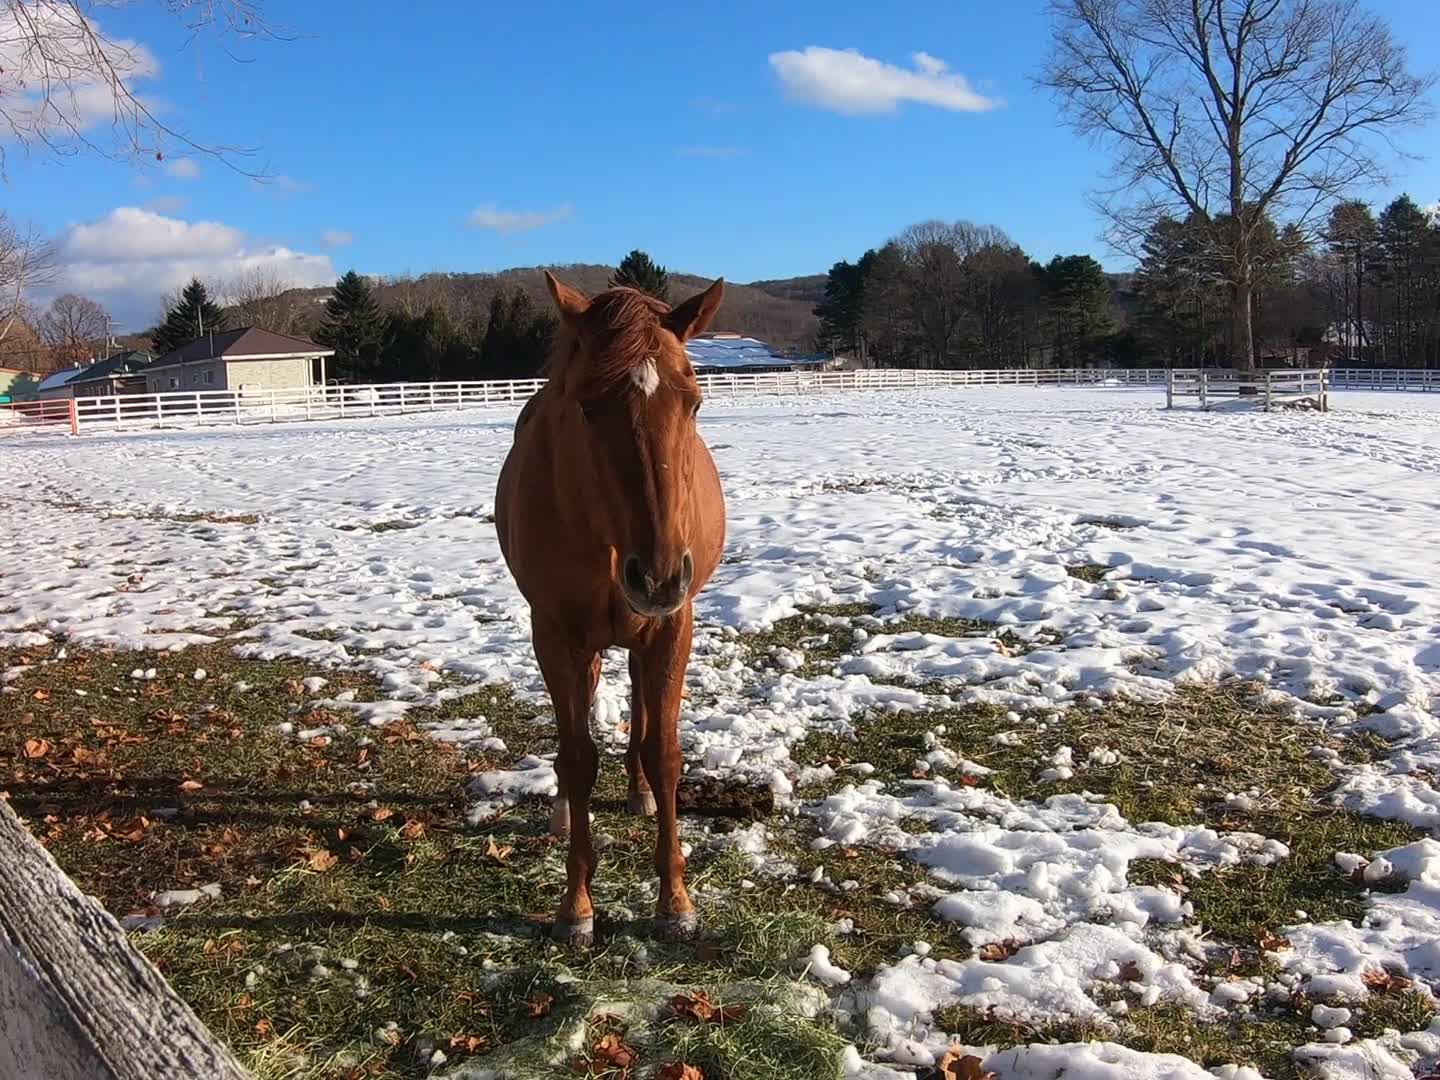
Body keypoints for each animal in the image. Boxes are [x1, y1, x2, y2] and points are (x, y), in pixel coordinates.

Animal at [492, 272, 725, 944]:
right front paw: (576, 907)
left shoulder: (673, 627)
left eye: (693, 403)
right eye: (587, 406)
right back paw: (564, 815)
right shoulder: (556, 633)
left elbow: (664, 751)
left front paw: (675, 901)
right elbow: (577, 757)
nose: (658, 575)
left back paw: (639, 793)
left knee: (643, 713)